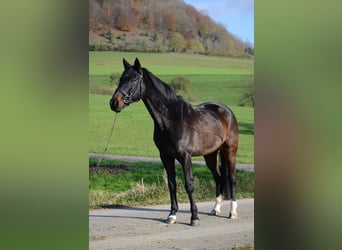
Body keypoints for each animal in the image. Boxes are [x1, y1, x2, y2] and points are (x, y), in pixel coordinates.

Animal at [111, 58, 239, 225]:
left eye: (133, 79)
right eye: (121, 79)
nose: (114, 103)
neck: (171, 119)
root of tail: (227, 111)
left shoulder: (185, 157)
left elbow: (189, 185)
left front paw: (194, 217)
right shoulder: (166, 156)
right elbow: (172, 184)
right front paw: (172, 215)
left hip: (230, 151)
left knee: (231, 178)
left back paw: (233, 212)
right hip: (210, 154)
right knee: (218, 177)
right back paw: (215, 209)